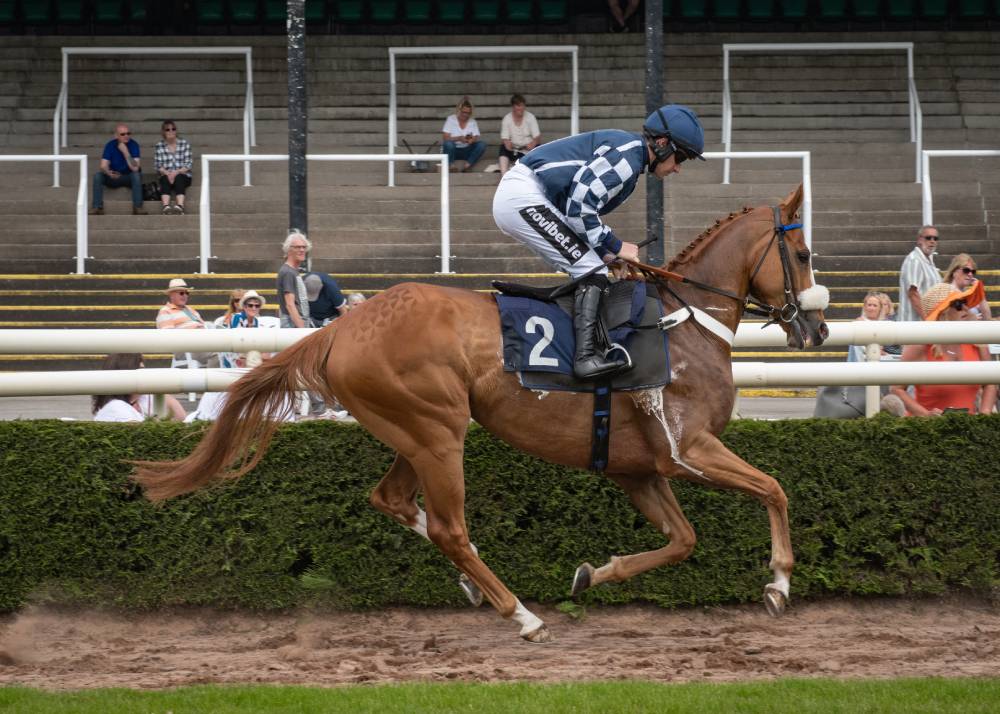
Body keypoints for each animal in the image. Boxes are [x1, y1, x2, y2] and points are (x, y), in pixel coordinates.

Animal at [133, 184, 828, 643]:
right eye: (802, 256)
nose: (817, 328)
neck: (684, 321)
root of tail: (340, 326)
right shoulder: (688, 447)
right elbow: (774, 488)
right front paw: (778, 584)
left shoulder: (638, 468)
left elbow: (683, 540)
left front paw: (592, 573)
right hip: (439, 432)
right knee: (449, 527)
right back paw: (520, 613)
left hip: (413, 432)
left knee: (391, 499)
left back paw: (476, 588)